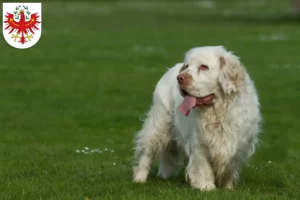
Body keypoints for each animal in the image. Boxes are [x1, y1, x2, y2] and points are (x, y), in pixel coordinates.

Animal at [132, 45, 262, 191]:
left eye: (204, 67)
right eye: (186, 66)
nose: (180, 77)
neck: (218, 113)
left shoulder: (238, 144)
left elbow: (230, 167)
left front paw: (227, 187)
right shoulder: (199, 142)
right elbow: (202, 166)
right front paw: (206, 187)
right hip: (159, 124)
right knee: (146, 152)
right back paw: (139, 178)